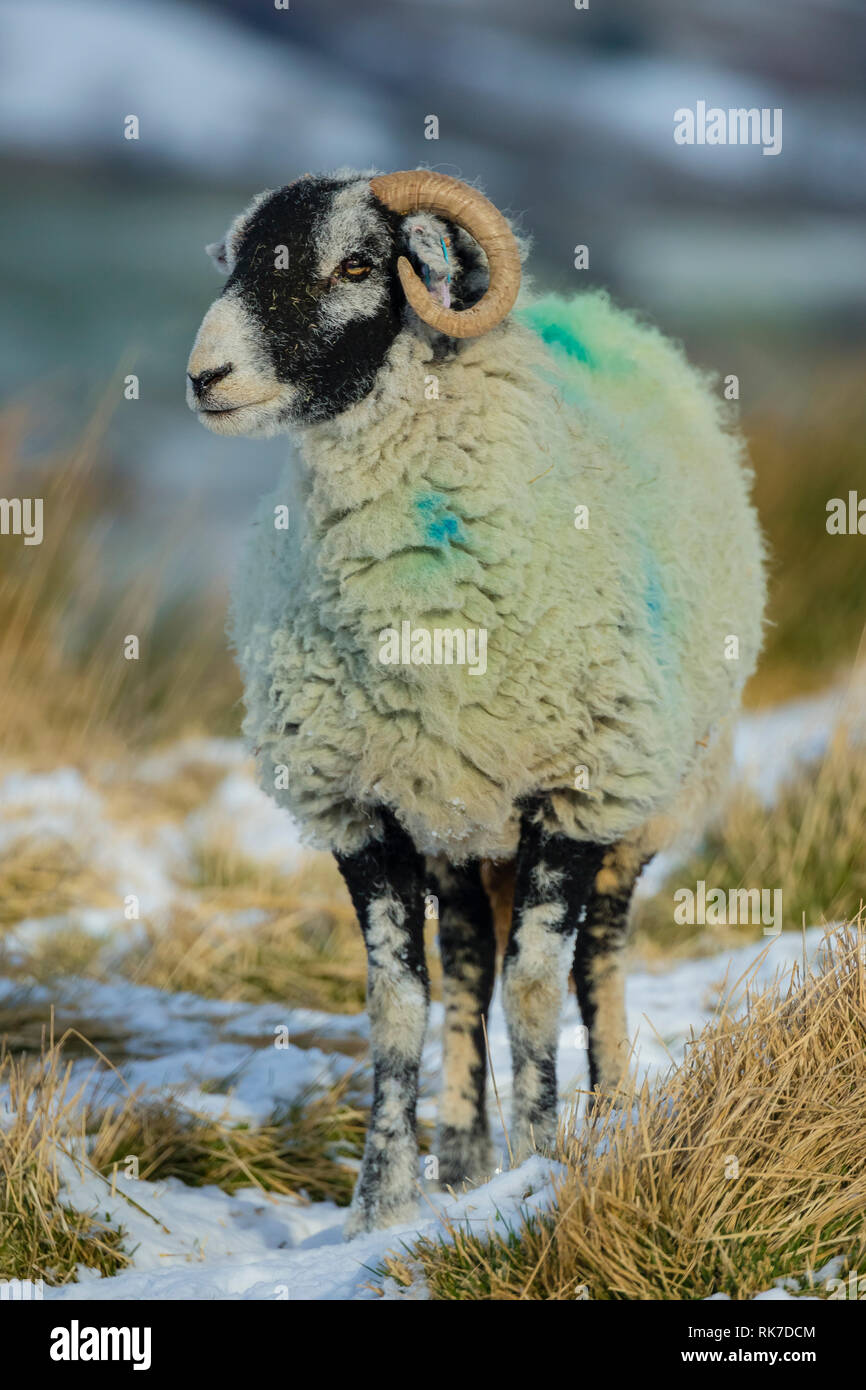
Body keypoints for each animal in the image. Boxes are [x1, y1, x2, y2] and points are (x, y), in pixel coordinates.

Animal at [186, 168, 767, 1237]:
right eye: (237, 262)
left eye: (357, 266)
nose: (207, 377)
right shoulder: (363, 806)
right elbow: (398, 1003)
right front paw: (384, 1202)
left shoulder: (576, 791)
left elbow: (538, 986)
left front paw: (542, 1164)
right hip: (455, 814)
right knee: (464, 962)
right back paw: (460, 1158)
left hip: (649, 802)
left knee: (593, 963)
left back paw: (608, 1114)